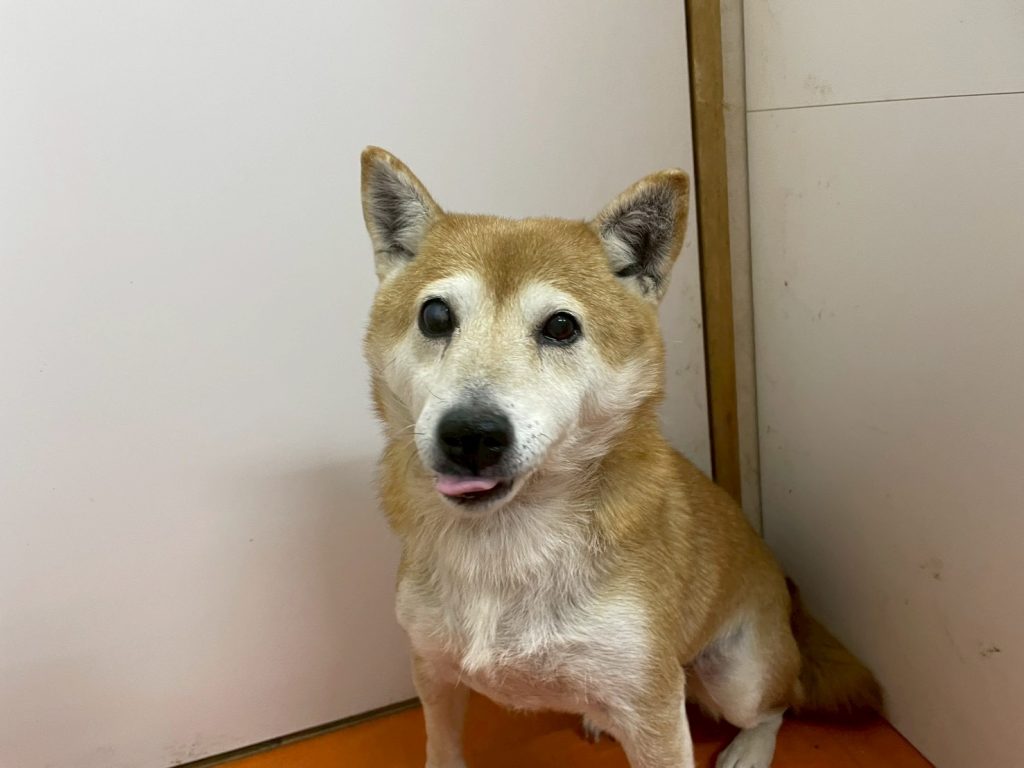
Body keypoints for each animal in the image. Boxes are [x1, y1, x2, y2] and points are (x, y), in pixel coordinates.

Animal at [359, 147, 882, 768]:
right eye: (435, 316)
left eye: (562, 326)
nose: (470, 434)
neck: (504, 542)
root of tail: (787, 595)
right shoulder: (434, 673)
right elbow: (442, 748)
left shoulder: (652, 705)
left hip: (736, 675)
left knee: (779, 704)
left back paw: (748, 751)